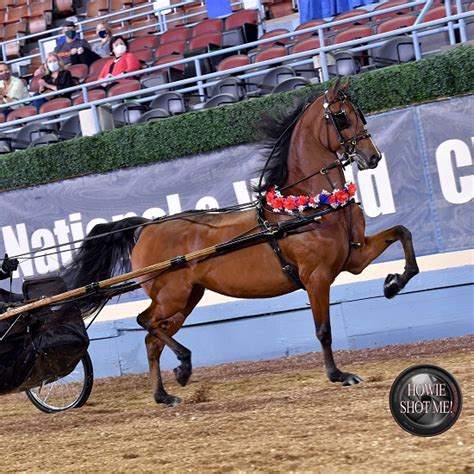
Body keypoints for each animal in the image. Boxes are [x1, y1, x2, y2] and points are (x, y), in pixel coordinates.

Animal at [64, 80, 418, 404]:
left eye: (360, 113)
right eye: (342, 117)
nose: (373, 157)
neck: (310, 207)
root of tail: (147, 227)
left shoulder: (353, 259)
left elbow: (402, 232)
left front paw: (393, 283)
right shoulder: (316, 277)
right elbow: (323, 330)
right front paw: (339, 374)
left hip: (186, 298)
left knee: (153, 338)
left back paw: (164, 393)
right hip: (172, 296)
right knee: (146, 322)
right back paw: (183, 365)